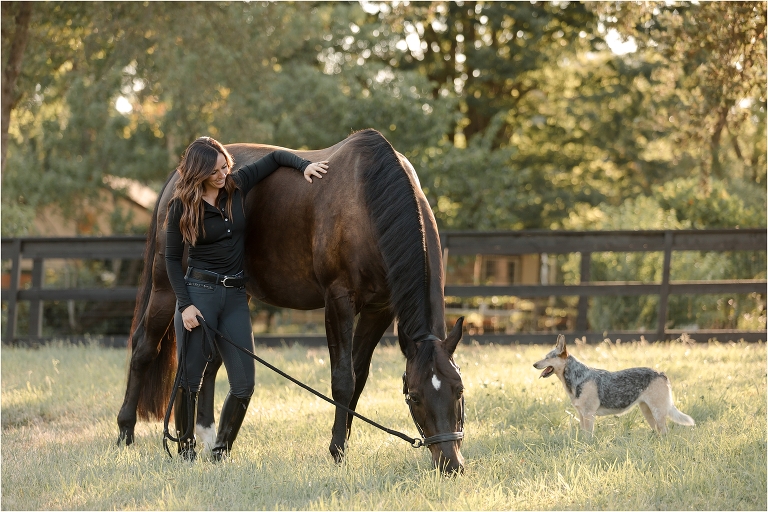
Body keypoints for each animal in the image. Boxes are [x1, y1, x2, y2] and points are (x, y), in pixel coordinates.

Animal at [116, 129, 466, 473]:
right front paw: (337, 451)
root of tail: (177, 177)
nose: (451, 464)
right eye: (415, 397)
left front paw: (345, 441)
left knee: (207, 363)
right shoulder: (338, 301)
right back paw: (126, 433)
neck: (368, 202)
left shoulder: (380, 309)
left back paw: (206, 438)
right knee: (145, 349)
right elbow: (343, 378)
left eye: (459, 389)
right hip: (167, 289)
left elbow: (359, 376)